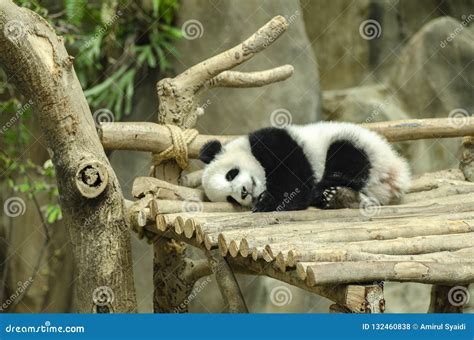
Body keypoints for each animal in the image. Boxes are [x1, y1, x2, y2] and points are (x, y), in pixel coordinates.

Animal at [198, 122, 410, 212]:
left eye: (230, 174)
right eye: (229, 198)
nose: (243, 193)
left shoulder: (274, 142)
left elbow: (295, 181)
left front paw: (266, 202)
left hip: (363, 146)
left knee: (346, 158)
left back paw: (327, 192)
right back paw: (340, 197)